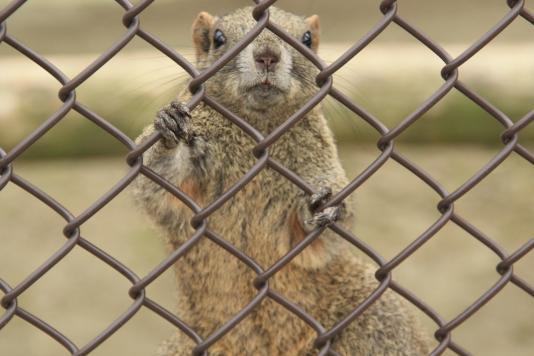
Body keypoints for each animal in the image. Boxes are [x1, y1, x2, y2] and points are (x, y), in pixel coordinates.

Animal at [133, 5, 432, 356]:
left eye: (307, 39)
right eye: (218, 38)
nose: (267, 55)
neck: (258, 127)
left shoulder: (320, 166)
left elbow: (319, 242)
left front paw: (318, 211)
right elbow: (158, 188)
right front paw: (170, 127)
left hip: (377, 321)